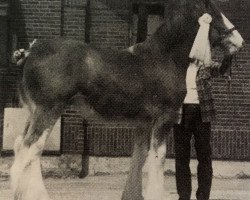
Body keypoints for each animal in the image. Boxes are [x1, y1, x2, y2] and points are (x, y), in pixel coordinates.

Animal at [10, 0, 243, 200]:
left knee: (22, 147)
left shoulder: (143, 123)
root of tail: (31, 51)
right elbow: (158, 158)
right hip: (49, 110)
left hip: (34, 112)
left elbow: (139, 157)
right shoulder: (164, 118)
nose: (240, 41)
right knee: (31, 150)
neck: (164, 58)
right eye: (214, 13)